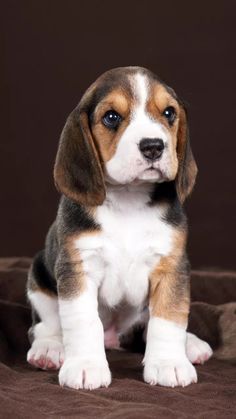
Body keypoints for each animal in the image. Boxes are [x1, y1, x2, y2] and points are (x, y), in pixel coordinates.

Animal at [26, 66, 213, 390]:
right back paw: (49, 349)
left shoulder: (172, 267)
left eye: (169, 113)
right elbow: (83, 320)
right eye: (111, 117)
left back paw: (190, 344)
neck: (129, 199)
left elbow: (169, 318)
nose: (153, 146)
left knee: (152, 325)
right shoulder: (78, 268)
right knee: (44, 325)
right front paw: (86, 366)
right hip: (38, 278)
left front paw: (169, 363)